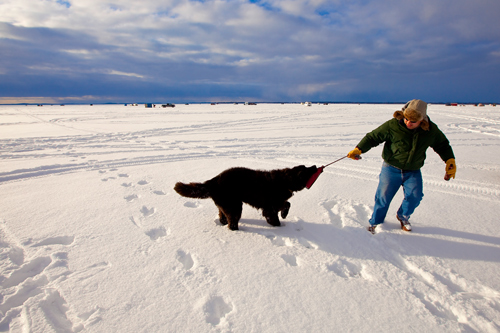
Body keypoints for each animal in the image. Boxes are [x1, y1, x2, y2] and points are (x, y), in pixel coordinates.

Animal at [175, 165, 316, 230]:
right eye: (306, 170)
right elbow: (279, 213)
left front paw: (283, 215)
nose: (315, 166)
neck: (284, 181)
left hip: (226, 204)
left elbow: (287, 204)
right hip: (235, 206)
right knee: (232, 223)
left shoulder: (275, 203)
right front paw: (279, 224)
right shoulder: (270, 207)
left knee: (222, 216)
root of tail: (213, 181)